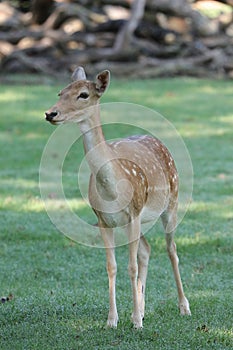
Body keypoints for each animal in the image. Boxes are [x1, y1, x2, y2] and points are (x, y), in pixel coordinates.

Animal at [44, 66, 190, 328]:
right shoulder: (103, 220)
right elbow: (111, 266)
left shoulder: (134, 213)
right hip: (135, 221)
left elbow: (130, 266)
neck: (112, 188)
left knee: (171, 249)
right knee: (146, 249)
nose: (51, 113)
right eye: (60, 92)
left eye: (83, 94)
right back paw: (142, 309)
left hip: (171, 202)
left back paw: (183, 307)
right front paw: (113, 320)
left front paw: (136, 323)